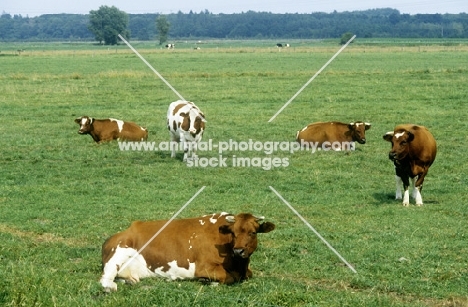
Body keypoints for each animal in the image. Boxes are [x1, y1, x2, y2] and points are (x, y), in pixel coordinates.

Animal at [98, 213, 274, 292]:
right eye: (233, 233)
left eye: (253, 232)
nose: (238, 251)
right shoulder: (204, 267)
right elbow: (229, 277)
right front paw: (207, 281)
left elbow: (248, 274)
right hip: (117, 254)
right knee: (105, 279)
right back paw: (110, 287)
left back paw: (130, 281)